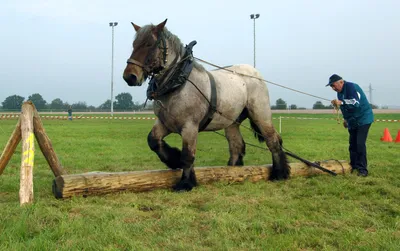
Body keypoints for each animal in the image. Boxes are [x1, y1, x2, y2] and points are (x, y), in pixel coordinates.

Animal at [122, 19, 290, 191]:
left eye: (149, 44)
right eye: (134, 44)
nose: (129, 76)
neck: (177, 84)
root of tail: (255, 72)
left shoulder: (190, 126)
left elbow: (187, 155)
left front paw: (185, 183)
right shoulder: (165, 123)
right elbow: (153, 141)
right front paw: (174, 160)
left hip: (260, 114)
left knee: (272, 140)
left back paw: (280, 173)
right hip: (232, 122)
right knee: (237, 145)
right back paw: (232, 171)